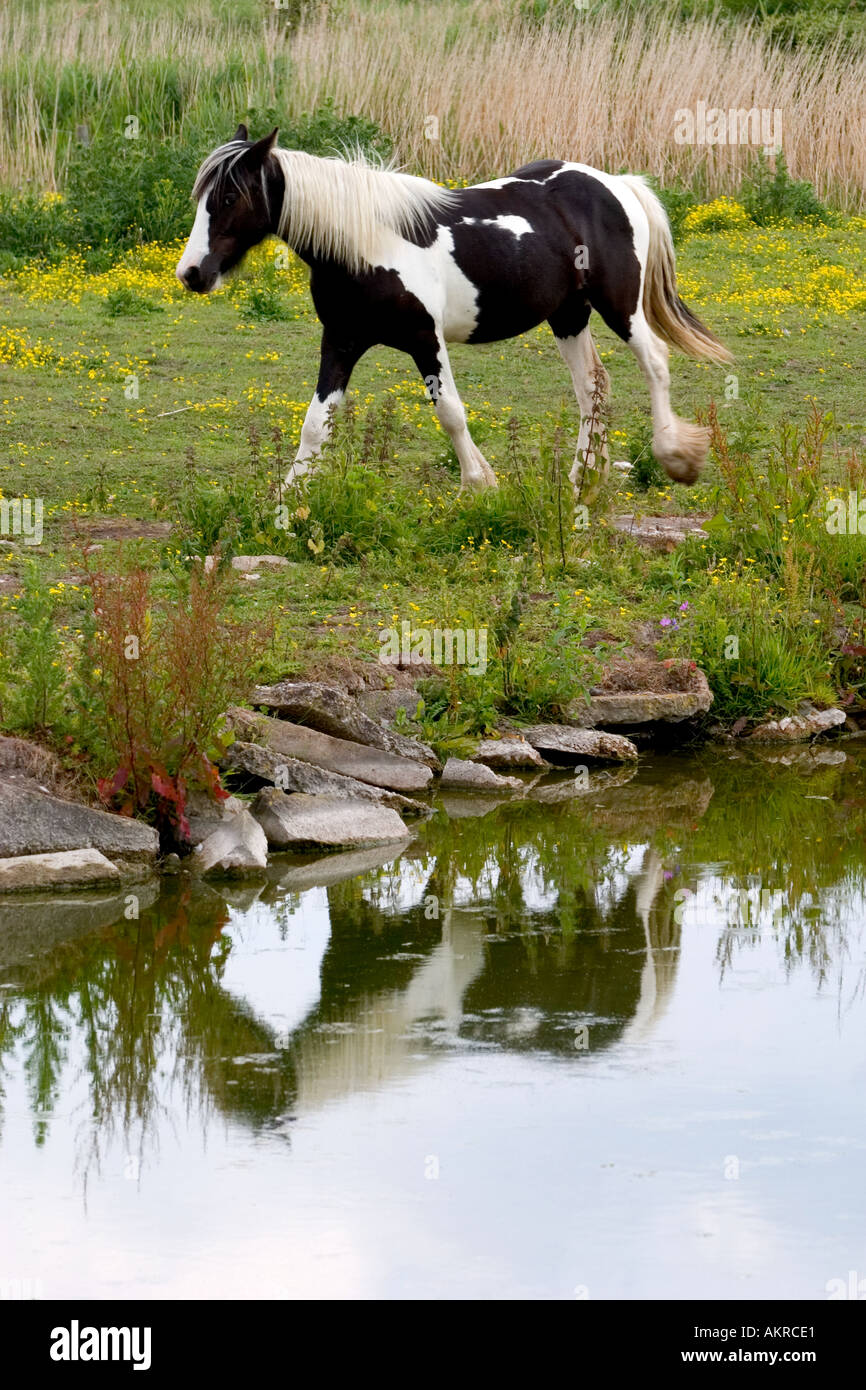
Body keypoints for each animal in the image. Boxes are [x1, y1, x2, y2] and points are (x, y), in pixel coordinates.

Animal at [176, 126, 731, 495]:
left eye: (230, 196)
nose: (192, 273)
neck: (365, 244)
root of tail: (615, 184)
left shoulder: (426, 338)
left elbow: (450, 413)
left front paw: (479, 483)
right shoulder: (341, 339)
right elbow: (316, 423)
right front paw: (287, 505)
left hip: (620, 306)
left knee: (654, 361)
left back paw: (675, 457)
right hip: (569, 316)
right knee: (593, 385)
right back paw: (582, 478)